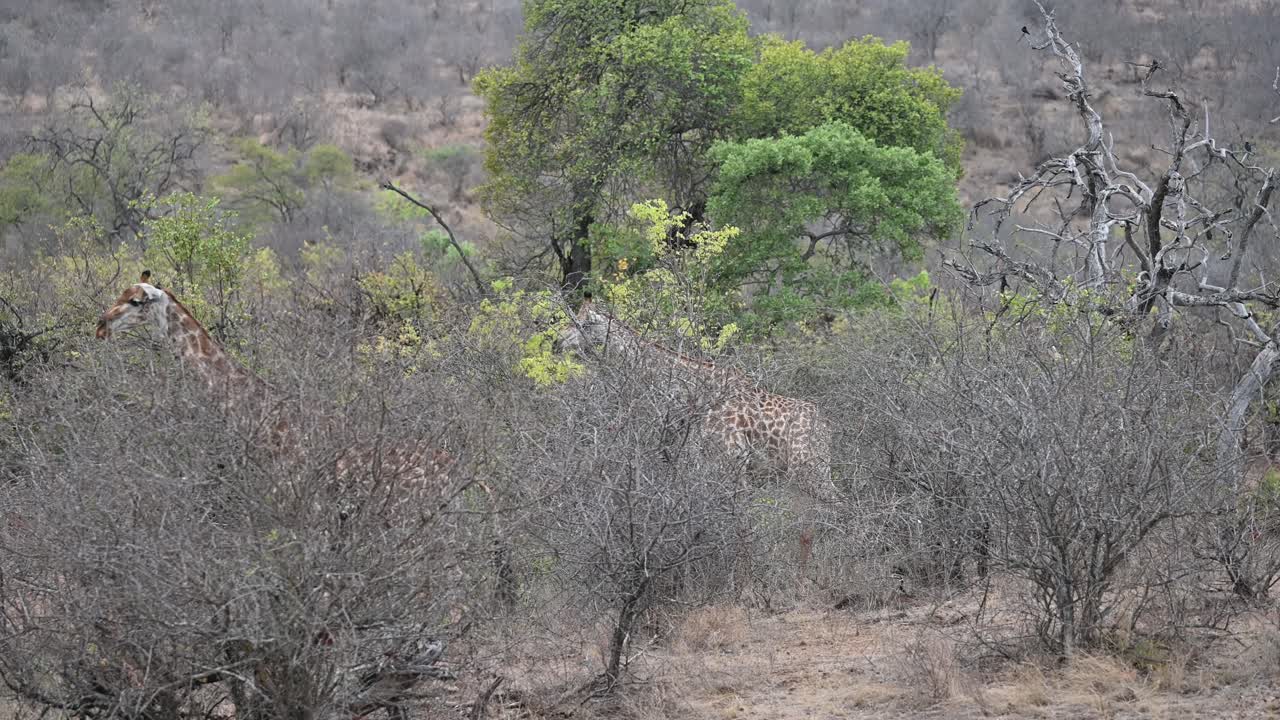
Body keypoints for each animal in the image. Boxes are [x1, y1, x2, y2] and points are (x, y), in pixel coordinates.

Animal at [558, 297, 834, 575]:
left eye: (583, 323)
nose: (556, 343)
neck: (689, 398)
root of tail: (825, 424)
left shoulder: (732, 465)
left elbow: (740, 527)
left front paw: (744, 580)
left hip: (810, 470)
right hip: (802, 477)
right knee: (809, 527)